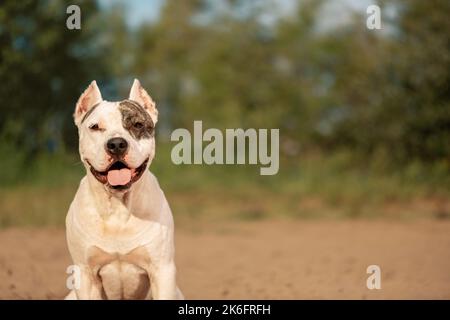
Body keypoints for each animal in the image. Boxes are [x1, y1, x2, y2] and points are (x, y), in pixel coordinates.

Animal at [64, 80, 183, 300]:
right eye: (95, 127)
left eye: (137, 125)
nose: (117, 144)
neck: (118, 208)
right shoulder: (84, 273)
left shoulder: (162, 270)